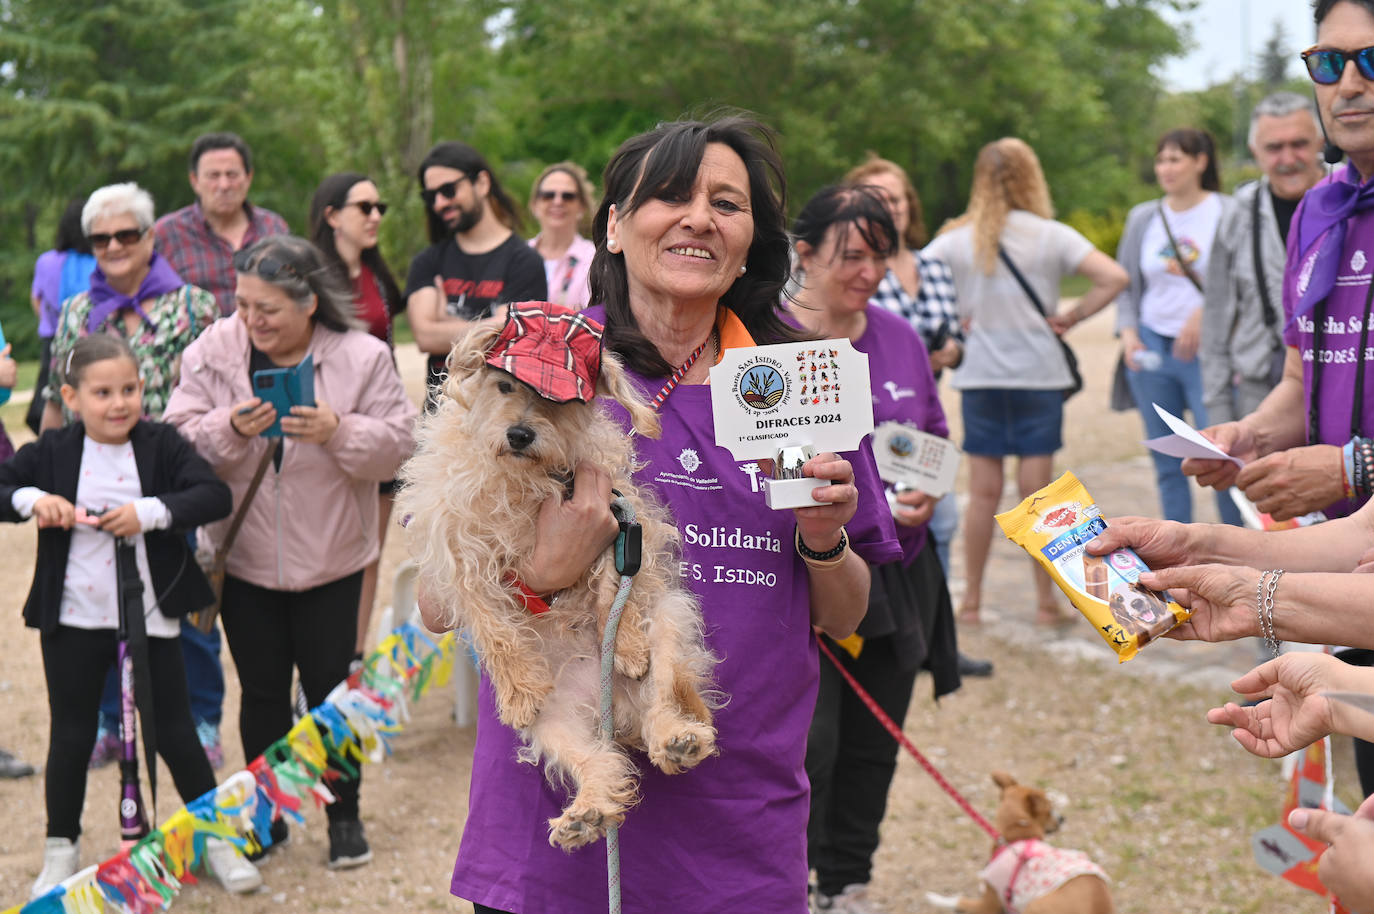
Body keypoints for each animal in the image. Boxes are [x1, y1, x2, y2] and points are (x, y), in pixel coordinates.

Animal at [398, 305, 719, 846]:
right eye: (504, 384)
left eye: (561, 400)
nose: (521, 434)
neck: (523, 479)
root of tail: (615, 711)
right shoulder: (458, 552)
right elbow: (492, 623)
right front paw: (520, 690)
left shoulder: (619, 518)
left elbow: (612, 586)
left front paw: (626, 644)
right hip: (556, 725)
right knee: (600, 762)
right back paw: (585, 814)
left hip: (671, 621)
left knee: (663, 698)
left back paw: (675, 737)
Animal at [934, 769, 1115, 912]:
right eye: (1049, 809)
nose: (1062, 818)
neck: (1017, 832)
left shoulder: (988, 905)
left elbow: (958, 900)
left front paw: (936, 897)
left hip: (1034, 906)